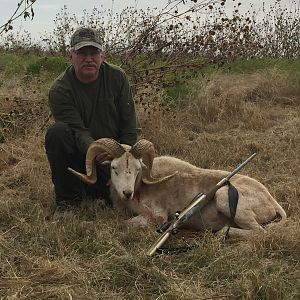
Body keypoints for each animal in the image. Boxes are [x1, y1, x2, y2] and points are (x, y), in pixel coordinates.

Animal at [67, 138, 286, 239]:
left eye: (138, 169)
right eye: (114, 167)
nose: (127, 193)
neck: (141, 189)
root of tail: (271, 201)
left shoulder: (157, 217)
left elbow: (126, 224)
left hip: (223, 196)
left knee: (260, 232)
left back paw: (222, 232)